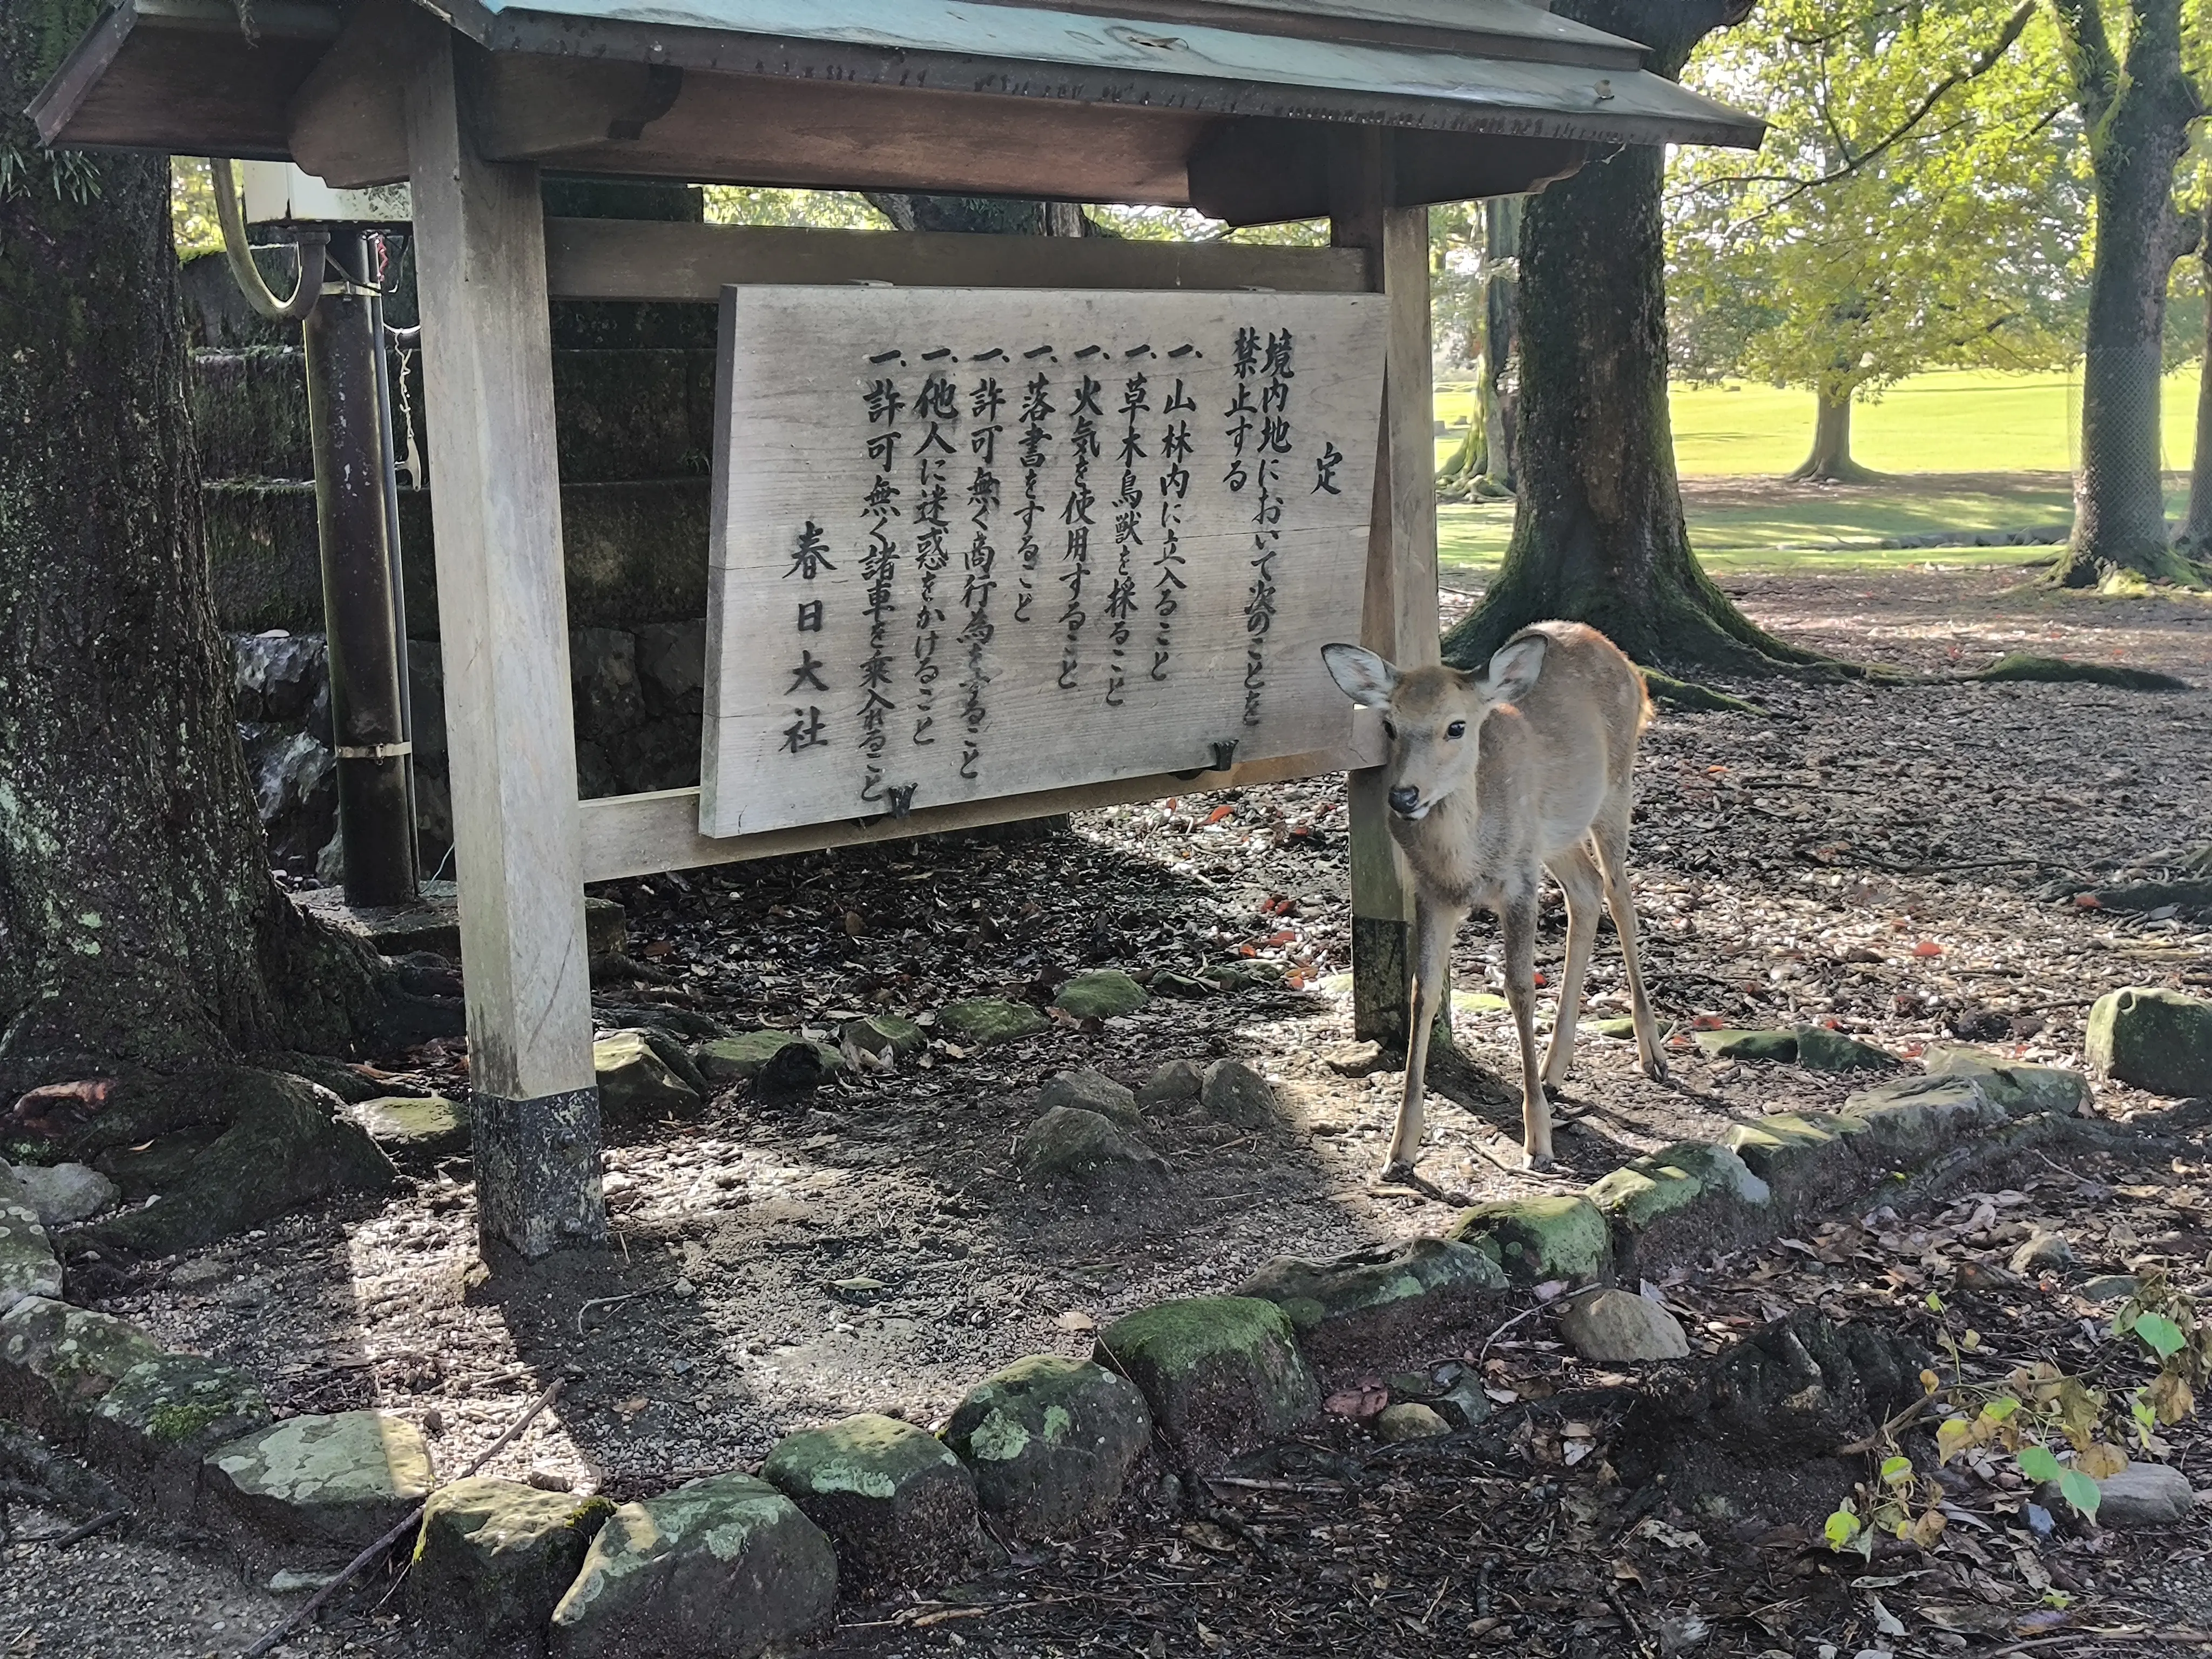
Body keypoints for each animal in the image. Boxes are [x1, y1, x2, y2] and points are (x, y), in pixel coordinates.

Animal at [1318, 624, 1663, 1185]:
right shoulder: (1430, 894)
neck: (1466, 865)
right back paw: (1555, 1068)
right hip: (1554, 836)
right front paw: (1399, 1150)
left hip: (1616, 788)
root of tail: (1631, 667)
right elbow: (1422, 993)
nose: (1403, 796)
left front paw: (1539, 1143)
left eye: (1456, 727)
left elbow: (1520, 989)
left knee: (1620, 896)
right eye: (1390, 725)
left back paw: (1651, 1053)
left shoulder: (1519, 882)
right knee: (1586, 891)